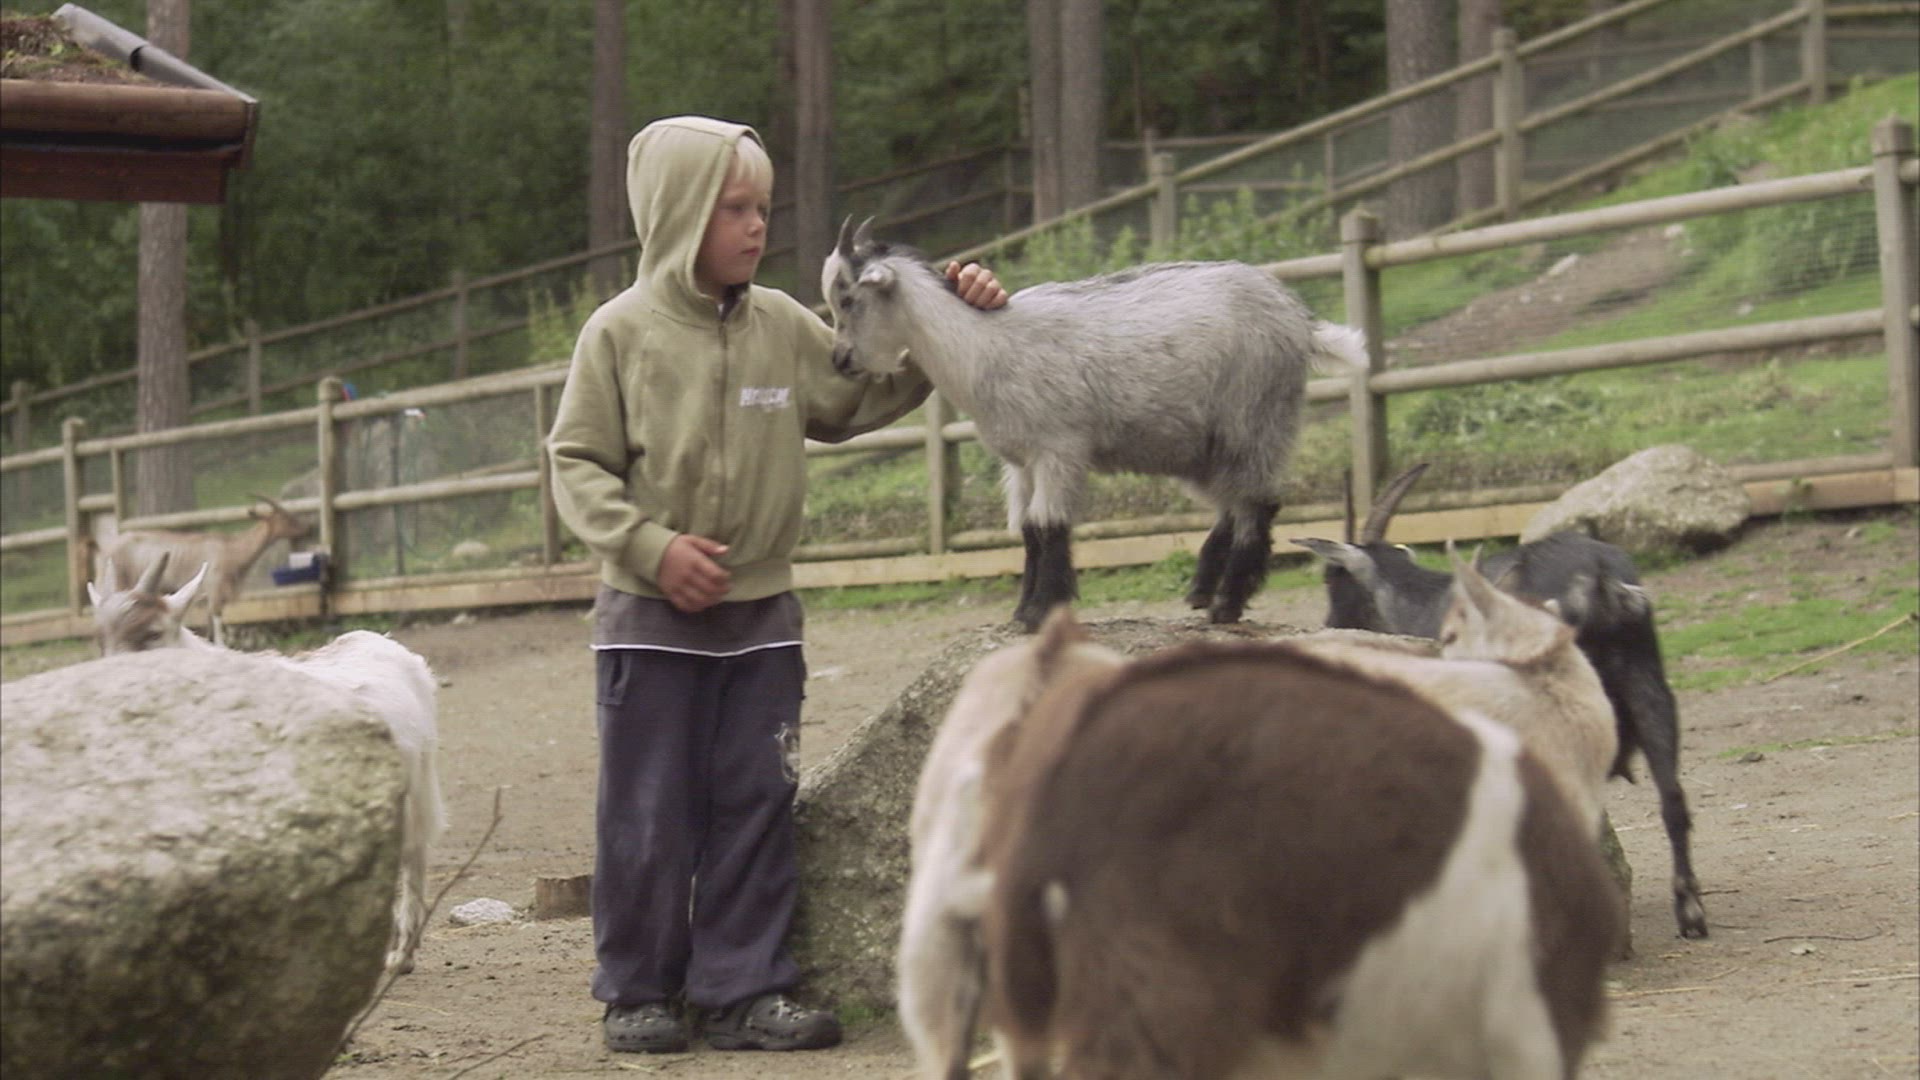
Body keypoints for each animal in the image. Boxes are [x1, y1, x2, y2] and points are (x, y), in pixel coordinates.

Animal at [88, 553, 446, 975]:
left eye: (154, 633)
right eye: (101, 639)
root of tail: (386, 644)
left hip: (415, 788)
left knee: (413, 855)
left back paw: (401, 954)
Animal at [100, 494, 312, 647]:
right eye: (287, 518)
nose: (306, 528)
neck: (232, 550)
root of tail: (109, 547)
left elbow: (210, 625)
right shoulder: (215, 589)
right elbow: (217, 626)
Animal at [821, 218, 1365, 630]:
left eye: (847, 298)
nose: (841, 360)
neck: (985, 345)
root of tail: (1301, 322)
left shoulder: (1057, 450)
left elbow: (1049, 525)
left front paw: (1040, 611)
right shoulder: (1021, 463)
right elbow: (1028, 530)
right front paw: (1023, 611)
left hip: (1255, 421)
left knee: (1259, 505)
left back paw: (1225, 605)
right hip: (1202, 447)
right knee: (1232, 503)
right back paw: (1202, 589)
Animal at [1292, 463, 1708, 939]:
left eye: (1331, 578)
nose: (1328, 623)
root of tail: (1598, 580)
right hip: (1648, 684)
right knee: (1672, 796)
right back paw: (1690, 913)